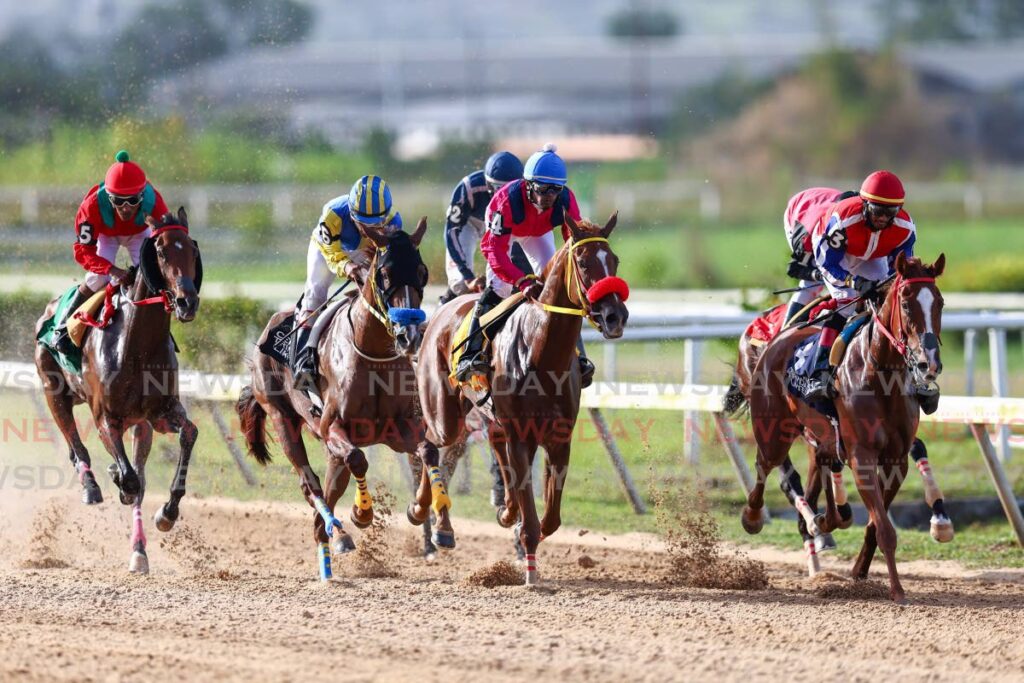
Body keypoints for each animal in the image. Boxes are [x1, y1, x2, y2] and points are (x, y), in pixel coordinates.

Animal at [33, 209, 199, 577]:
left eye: (192, 250)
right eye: (161, 251)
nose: (187, 301)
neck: (135, 346)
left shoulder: (160, 414)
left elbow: (188, 435)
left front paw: (167, 513)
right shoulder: (106, 418)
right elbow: (130, 480)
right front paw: (116, 480)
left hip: (140, 426)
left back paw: (139, 552)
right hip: (54, 392)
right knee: (77, 444)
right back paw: (92, 486)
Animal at [237, 220, 454, 581]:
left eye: (422, 272)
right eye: (384, 274)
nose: (409, 336)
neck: (373, 352)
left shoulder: (399, 428)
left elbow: (428, 451)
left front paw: (425, 512)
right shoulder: (333, 427)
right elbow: (357, 459)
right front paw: (361, 513)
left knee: (329, 490)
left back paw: (329, 544)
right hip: (283, 420)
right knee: (311, 484)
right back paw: (337, 533)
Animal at [413, 215, 622, 589]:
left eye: (615, 261)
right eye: (583, 263)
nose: (615, 316)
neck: (541, 351)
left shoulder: (558, 438)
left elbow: (550, 518)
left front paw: (515, 518)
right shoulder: (522, 436)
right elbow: (531, 512)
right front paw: (530, 573)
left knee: (492, 448)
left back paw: (502, 510)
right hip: (445, 411)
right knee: (430, 444)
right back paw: (426, 513)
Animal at [741, 253, 946, 602]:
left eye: (940, 303)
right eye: (906, 302)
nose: (928, 363)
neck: (879, 375)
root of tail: (780, 337)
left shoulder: (895, 460)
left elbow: (876, 524)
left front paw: (860, 570)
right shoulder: (862, 457)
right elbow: (885, 528)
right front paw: (897, 590)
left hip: (822, 436)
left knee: (822, 467)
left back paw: (825, 520)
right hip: (774, 432)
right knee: (765, 467)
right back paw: (754, 517)